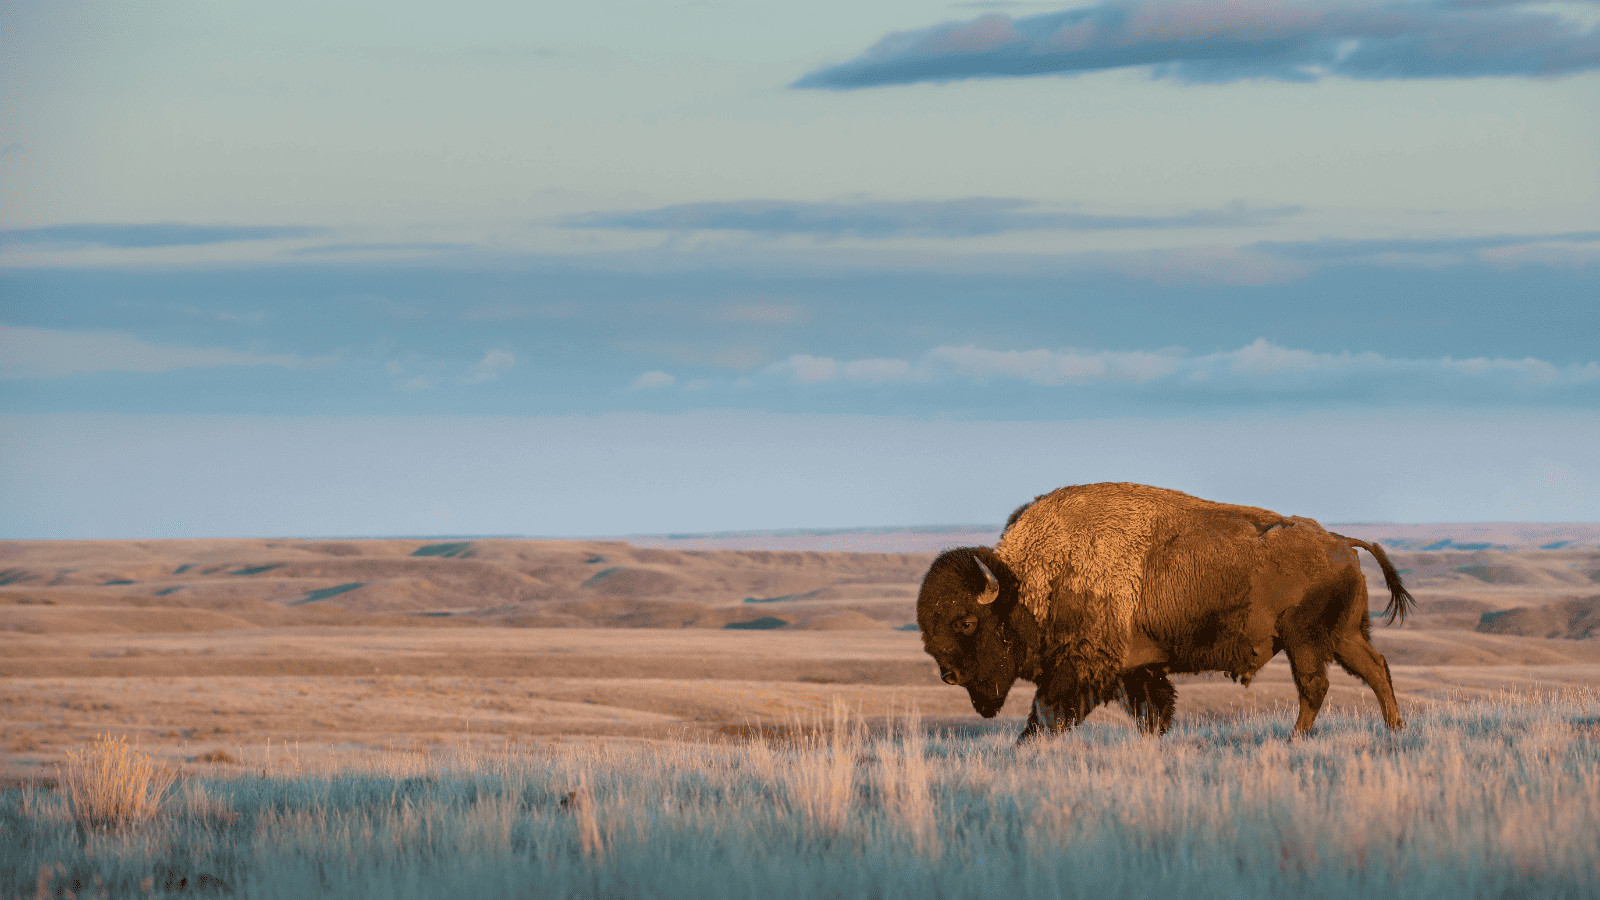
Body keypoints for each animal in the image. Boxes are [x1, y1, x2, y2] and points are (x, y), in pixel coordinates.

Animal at [916, 482, 1413, 740]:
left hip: (1305, 639)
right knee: (1374, 669)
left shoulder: (1082, 667)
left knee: (1316, 685)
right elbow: (1152, 712)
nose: (949, 676)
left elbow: (1045, 712)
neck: (1030, 583)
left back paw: (1296, 739)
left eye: (966, 621)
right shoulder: (1137, 669)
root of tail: (1341, 541)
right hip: (1344, 636)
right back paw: (1395, 728)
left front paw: (1026, 746)